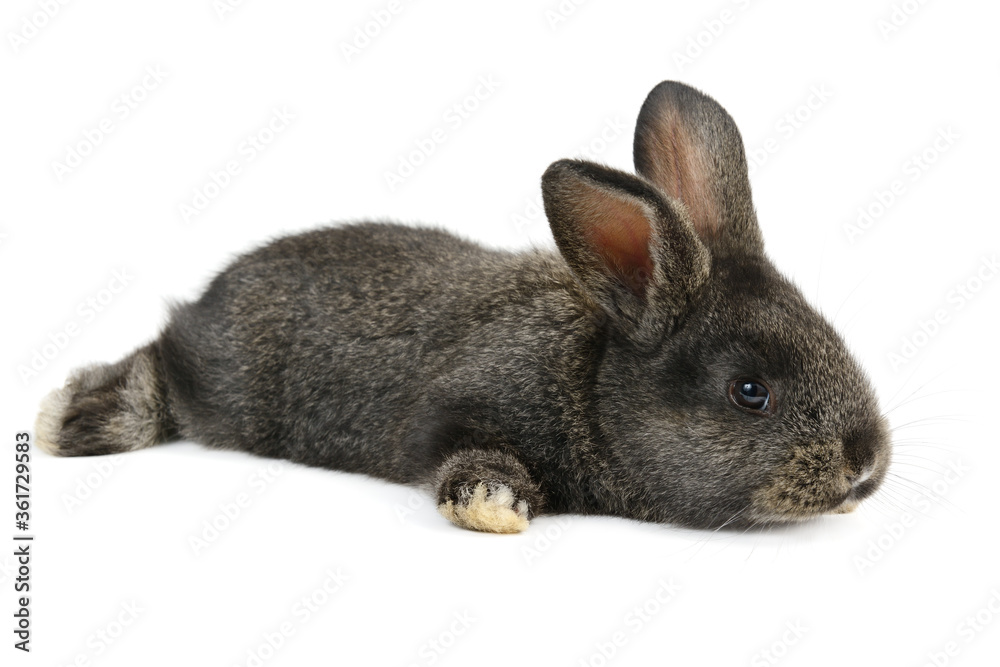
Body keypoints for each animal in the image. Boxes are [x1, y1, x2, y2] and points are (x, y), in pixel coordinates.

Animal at [35, 81, 891, 534]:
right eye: (751, 392)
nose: (867, 463)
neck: (589, 384)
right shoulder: (458, 410)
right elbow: (460, 454)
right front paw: (495, 506)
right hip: (225, 387)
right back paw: (68, 418)